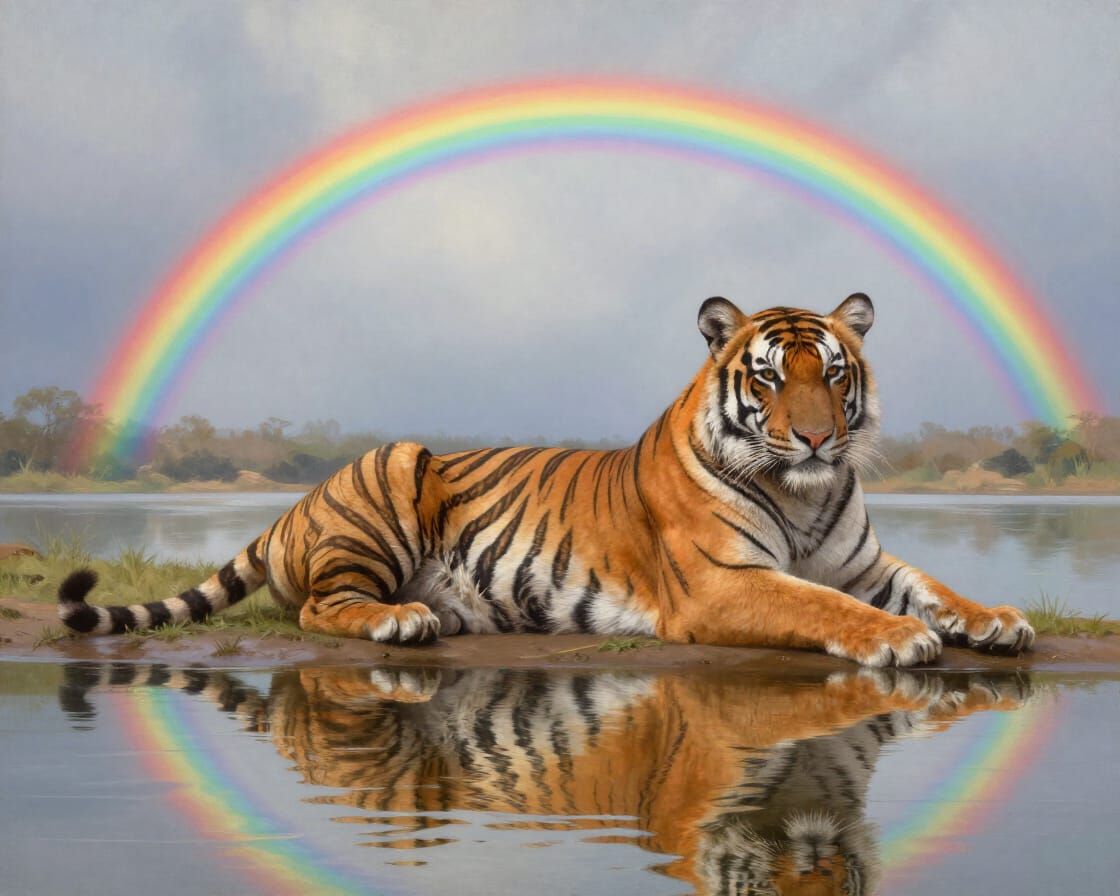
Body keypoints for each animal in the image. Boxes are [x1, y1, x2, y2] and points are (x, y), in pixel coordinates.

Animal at [57, 292, 1035, 666]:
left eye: (833, 374)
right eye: (766, 379)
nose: (817, 439)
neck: (807, 493)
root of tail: (291, 509)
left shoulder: (866, 563)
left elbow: (931, 584)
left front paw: (996, 619)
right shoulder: (725, 583)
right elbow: (822, 605)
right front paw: (898, 640)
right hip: (389, 467)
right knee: (319, 607)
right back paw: (401, 620)